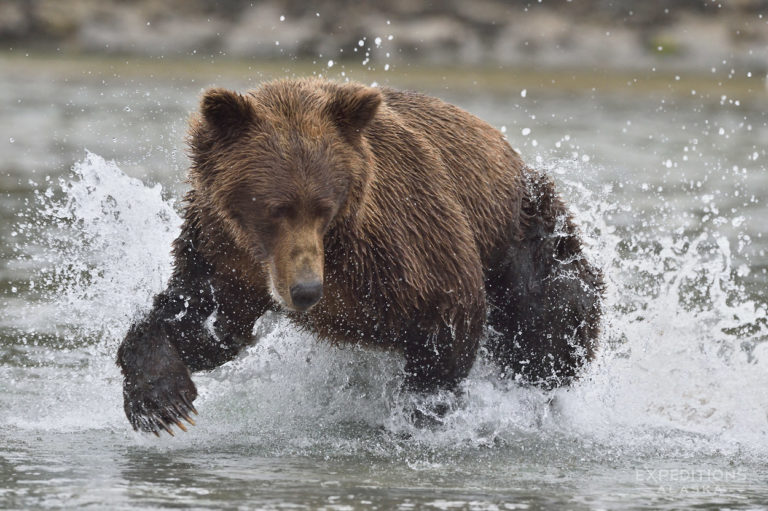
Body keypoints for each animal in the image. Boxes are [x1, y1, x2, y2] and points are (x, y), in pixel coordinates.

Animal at [116, 78, 603, 435]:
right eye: (275, 208)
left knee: (552, 323)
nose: (307, 291)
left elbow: (450, 314)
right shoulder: (226, 253)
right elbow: (205, 320)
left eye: (324, 206)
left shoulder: (403, 240)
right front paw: (162, 402)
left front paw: (420, 414)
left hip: (528, 237)